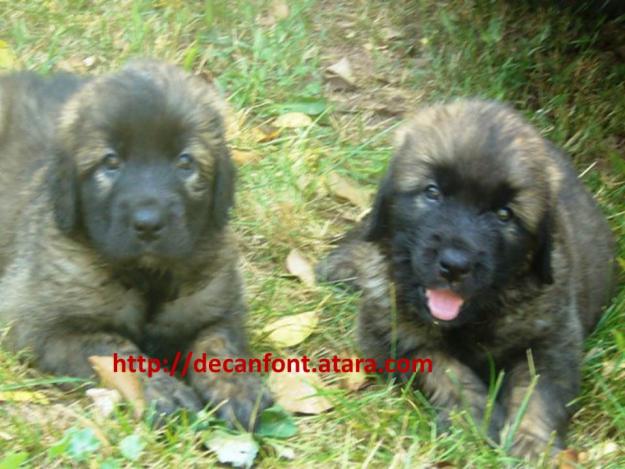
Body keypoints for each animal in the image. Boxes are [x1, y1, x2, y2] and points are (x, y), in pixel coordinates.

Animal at [1, 59, 272, 428]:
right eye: (111, 162)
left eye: (185, 162)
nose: (148, 224)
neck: (148, 275)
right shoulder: (38, 325)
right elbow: (114, 348)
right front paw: (161, 388)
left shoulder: (219, 306)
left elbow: (218, 343)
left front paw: (236, 385)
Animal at [316, 97, 616, 458]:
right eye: (432, 192)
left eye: (504, 214)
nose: (455, 265)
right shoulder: (389, 337)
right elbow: (444, 368)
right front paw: (474, 419)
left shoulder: (552, 341)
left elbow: (536, 392)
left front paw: (531, 445)